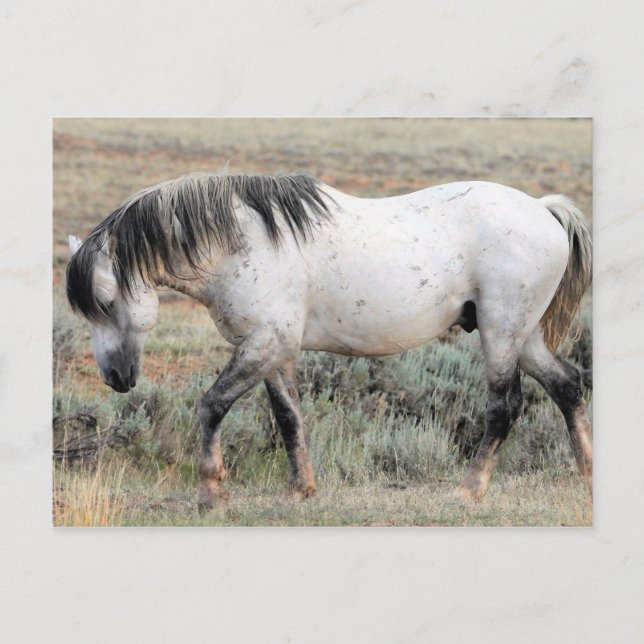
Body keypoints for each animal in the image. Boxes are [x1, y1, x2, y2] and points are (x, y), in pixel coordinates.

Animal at [66, 172, 592, 510]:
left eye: (106, 301)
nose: (114, 377)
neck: (243, 243)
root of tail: (543, 209)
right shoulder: (273, 353)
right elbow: (289, 418)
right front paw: (300, 490)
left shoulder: (263, 346)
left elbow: (212, 405)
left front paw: (211, 493)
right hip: (522, 336)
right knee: (567, 386)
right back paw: (587, 474)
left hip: (502, 333)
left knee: (505, 406)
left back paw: (469, 489)